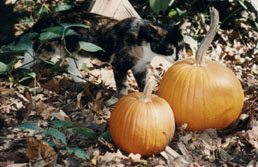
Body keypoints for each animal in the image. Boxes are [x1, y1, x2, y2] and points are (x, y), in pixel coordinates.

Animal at [20, 8, 185, 98]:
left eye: (182, 47)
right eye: (169, 49)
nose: (177, 58)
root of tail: (47, 17)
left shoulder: (140, 67)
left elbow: (144, 83)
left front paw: (148, 95)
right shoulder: (119, 64)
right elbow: (122, 85)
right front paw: (122, 98)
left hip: (80, 50)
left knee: (72, 64)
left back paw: (79, 81)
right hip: (48, 46)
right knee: (31, 50)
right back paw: (23, 70)